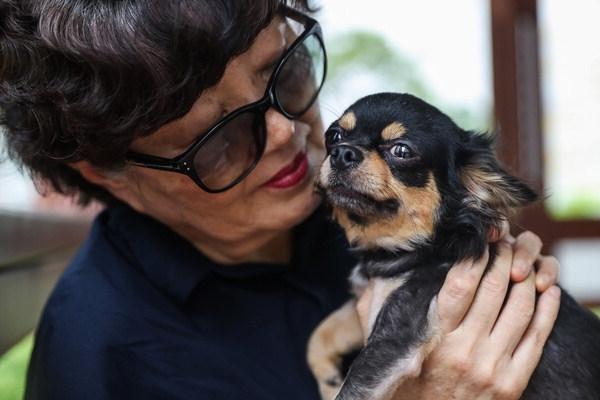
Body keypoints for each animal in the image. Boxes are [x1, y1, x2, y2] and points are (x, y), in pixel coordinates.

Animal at [307, 93, 600, 400]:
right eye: (333, 135)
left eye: (401, 151)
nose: (341, 152)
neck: (413, 249)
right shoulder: (368, 303)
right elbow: (320, 333)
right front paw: (328, 378)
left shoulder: (395, 334)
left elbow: (353, 387)